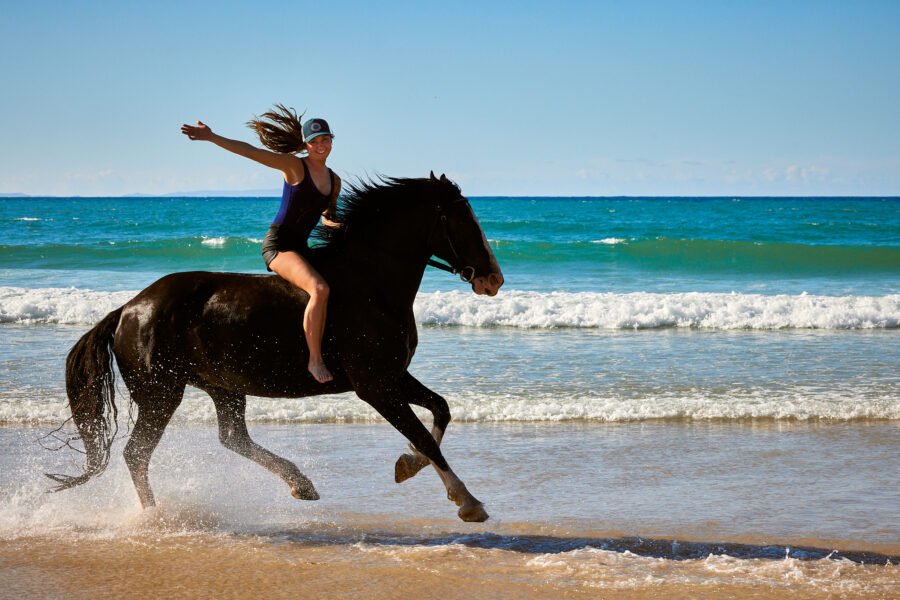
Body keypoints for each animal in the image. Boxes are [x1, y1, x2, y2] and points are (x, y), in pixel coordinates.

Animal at [48, 172, 504, 522]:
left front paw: (407, 465)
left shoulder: (393, 376)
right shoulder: (374, 385)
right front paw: (468, 502)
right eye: (464, 220)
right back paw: (155, 517)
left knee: (232, 438)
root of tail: (128, 309)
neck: (371, 284)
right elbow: (424, 436)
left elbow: (440, 410)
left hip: (222, 387)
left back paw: (301, 484)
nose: (494, 279)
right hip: (162, 393)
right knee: (138, 454)